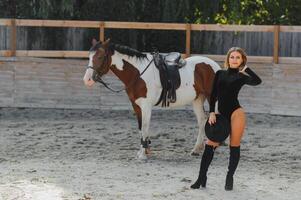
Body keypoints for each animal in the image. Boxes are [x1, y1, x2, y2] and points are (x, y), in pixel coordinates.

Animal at [82, 38, 220, 159]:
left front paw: (143, 154)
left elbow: (145, 127)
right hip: (198, 99)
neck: (137, 73)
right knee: (202, 120)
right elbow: (140, 128)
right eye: (90, 57)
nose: (87, 80)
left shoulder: (146, 106)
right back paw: (196, 150)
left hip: (212, 99)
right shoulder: (136, 105)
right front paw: (144, 150)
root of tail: (215, 66)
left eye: (100, 57)